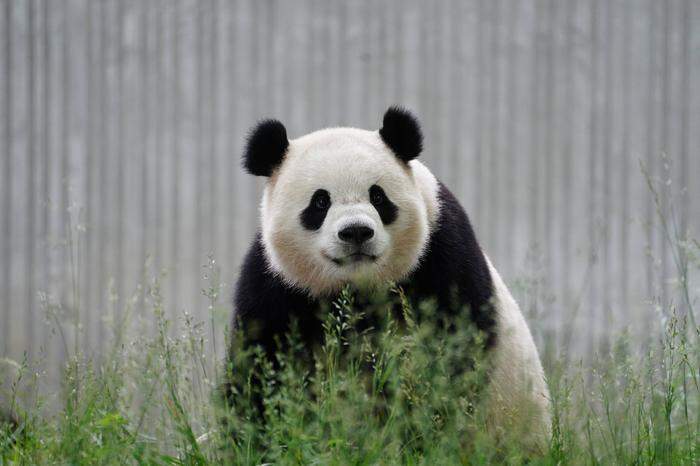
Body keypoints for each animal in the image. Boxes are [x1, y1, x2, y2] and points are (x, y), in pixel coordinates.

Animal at [232, 106, 548, 452]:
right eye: (320, 202)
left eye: (378, 197)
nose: (356, 231)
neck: (356, 290)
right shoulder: (276, 284)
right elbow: (261, 367)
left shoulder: (442, 255)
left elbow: (450, 355)